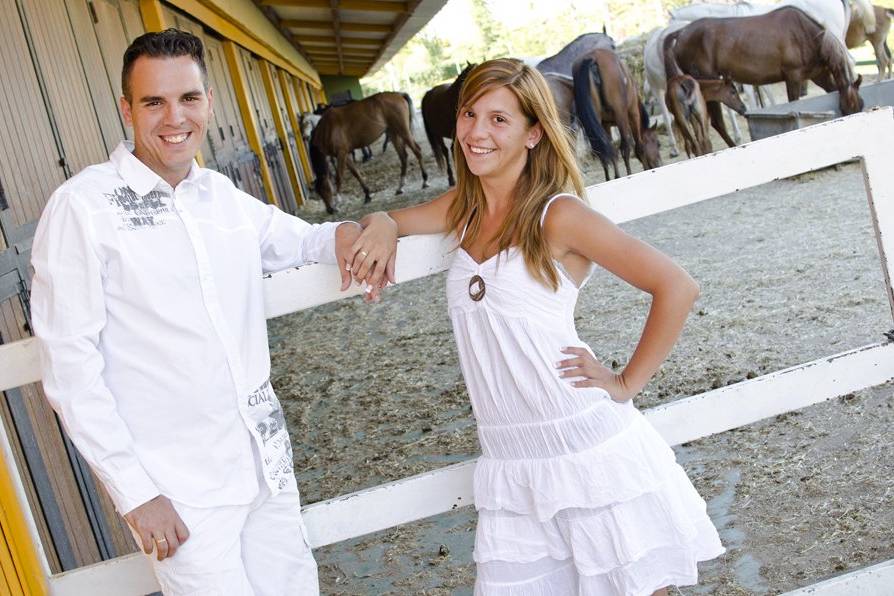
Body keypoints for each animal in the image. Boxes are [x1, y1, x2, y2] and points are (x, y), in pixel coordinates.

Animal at [576, 49, 664, 180]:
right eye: (658, 144)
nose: (659, 164)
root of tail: (592, 58)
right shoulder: (633, 115)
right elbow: (638, 146)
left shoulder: (606, 124)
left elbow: (611, 149)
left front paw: (616, 175)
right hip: (621, 117)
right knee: (624, 148)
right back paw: (628, 174)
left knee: (604, 152)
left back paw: (609, 179)